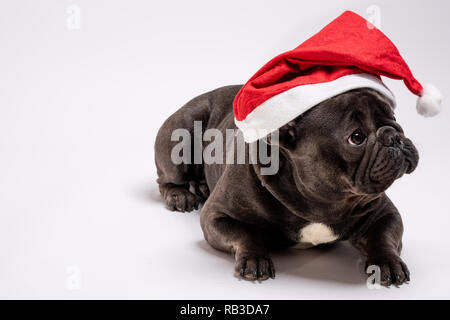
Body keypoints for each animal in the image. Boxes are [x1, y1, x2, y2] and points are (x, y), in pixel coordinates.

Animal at [155, 84, 418, 284]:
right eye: (356, 137)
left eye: (394, 118)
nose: (393, 135)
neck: (324, 201)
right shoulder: (216, 215)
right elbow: (244, 233)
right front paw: (256, 258)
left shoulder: (384, 212)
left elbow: (383, 236)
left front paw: (388, 262)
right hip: (181, 132)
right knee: (166, 178)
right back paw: (180, 195)